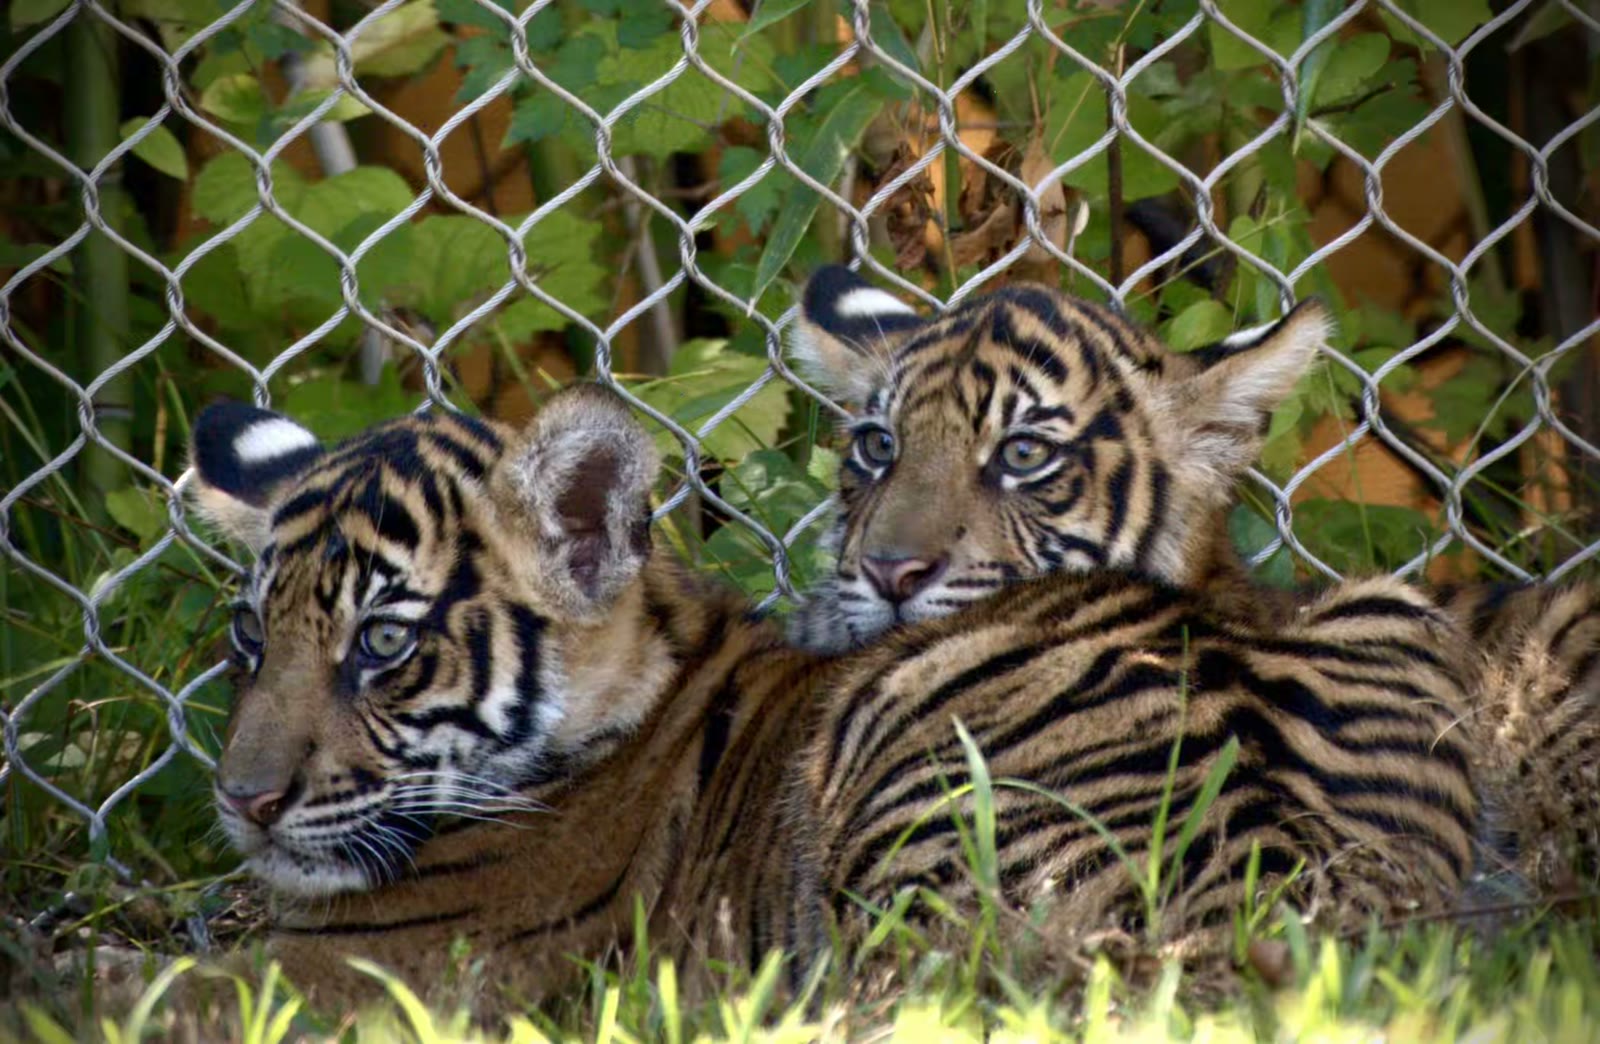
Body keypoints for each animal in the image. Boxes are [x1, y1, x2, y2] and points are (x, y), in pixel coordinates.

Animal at [186, 381, 1479, 1010]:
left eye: (383, 643)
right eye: (252, 636)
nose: (242, 802)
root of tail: (1287, 900)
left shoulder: (380, 964)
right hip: (1394, 610)